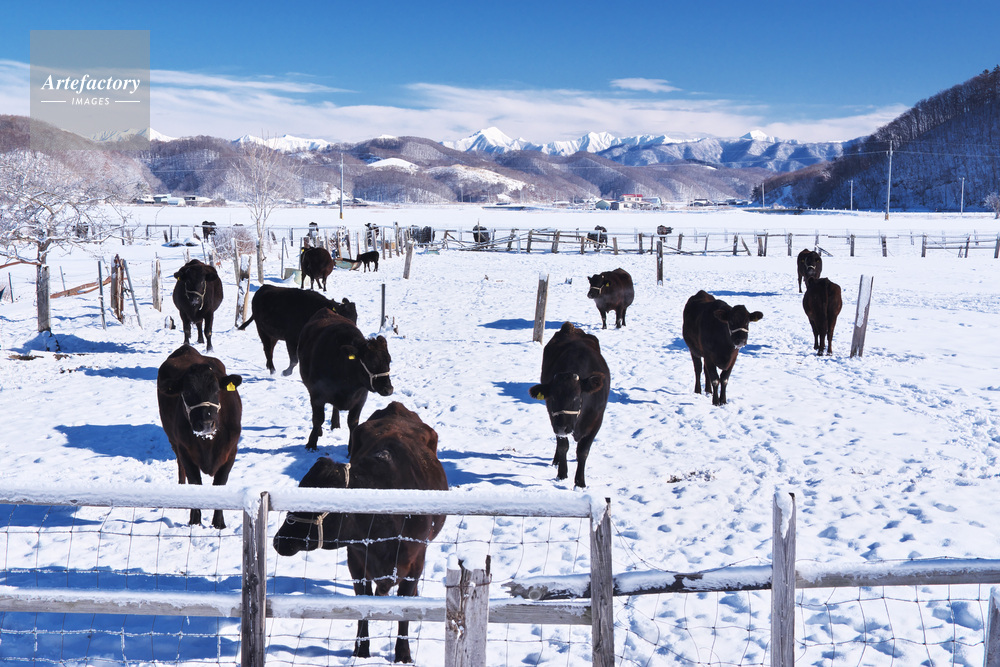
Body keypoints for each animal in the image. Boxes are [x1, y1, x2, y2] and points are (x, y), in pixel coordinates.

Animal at [156, 345, 242, 529]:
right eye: (187, 392)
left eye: (216, 390)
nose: (206, 424)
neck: (208, 443)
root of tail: (186, 348)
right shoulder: (185, 450)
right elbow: (195, 481)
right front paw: (194, 521)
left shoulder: (231, 451)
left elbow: (220, 483)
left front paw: (219, 523)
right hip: (173, 441)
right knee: (180, 467)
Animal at [273, 402, 447, 663]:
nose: (279, 540)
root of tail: (396, 407)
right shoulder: (356, 561)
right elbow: (363, 604)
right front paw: (361, 651)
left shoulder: (415, 561)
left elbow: (404, 612)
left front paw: (403, 655)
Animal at [298, 310, 393, 451]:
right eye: (371, 362)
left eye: (389, 360)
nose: (389, 389)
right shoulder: (316, 394)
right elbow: (318, 419)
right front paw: (311, 444)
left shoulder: (361, 398)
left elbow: (353, 422)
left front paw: (351, 448)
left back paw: (335, 424)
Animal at [528, 322, 610, 488]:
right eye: (552, 398)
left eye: (577, 397)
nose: (562, 428)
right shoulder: (554, 417)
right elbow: (563, 446)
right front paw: (562, 474)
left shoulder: (597, 420)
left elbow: (583, 451)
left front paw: (580, 482)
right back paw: (556, 461)